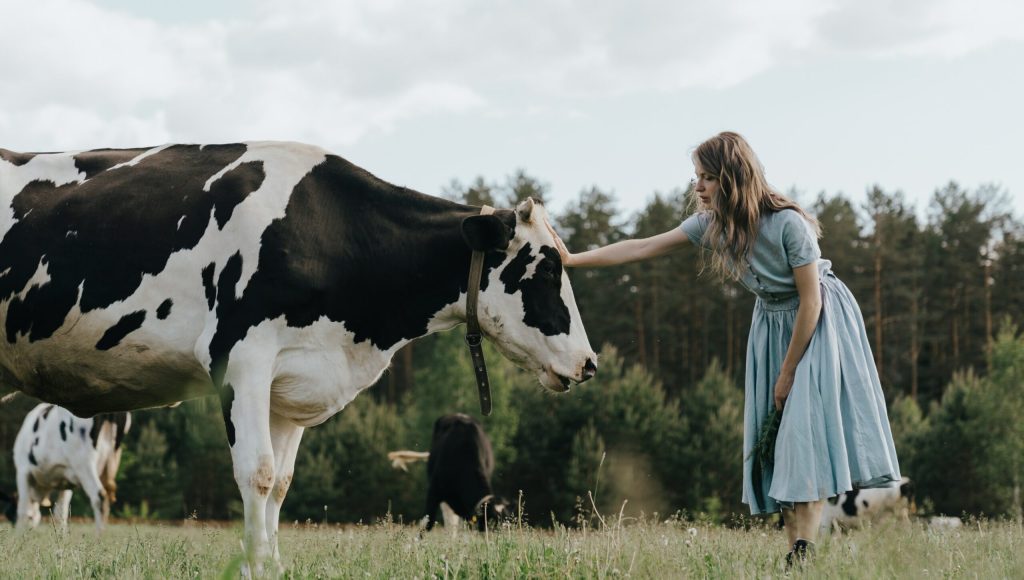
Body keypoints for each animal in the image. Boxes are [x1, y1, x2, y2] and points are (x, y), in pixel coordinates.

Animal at [11, 403, 130, 532]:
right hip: (112, 462)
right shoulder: (65, 480)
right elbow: (60, 513)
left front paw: (19, 535)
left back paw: (99, 537)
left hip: (84, 462)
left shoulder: (22, 471)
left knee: (100, 496)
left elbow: (22, 510)